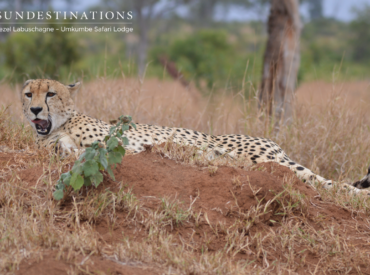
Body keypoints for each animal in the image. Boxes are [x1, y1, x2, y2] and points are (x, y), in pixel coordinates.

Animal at [22, 79, 370, 196]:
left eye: (50, 93)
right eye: (28, 93)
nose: (35, 109)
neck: (61, 125)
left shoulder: (121, 141)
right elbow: (65, 152)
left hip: (266, 157)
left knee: (327, 183)